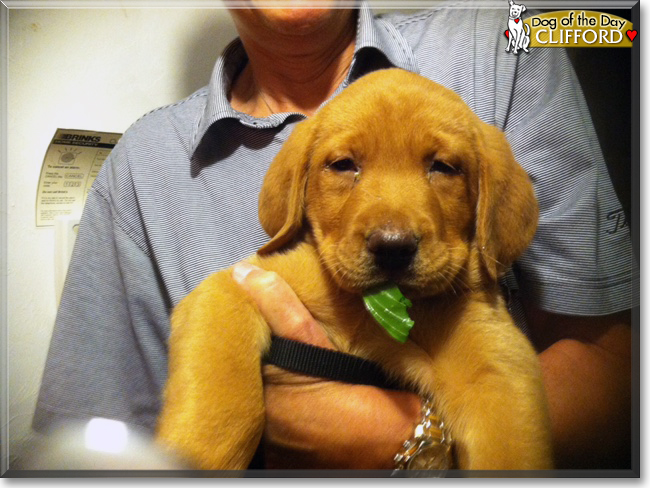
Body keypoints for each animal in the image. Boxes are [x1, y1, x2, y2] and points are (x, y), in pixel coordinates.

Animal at [157, 66, 552, 470]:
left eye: (443, 167)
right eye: (344, 165)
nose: (392, 248)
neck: (369, 310)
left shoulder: (499, 367)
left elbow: (509, 450)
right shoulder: (232, 287)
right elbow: (220, 400)